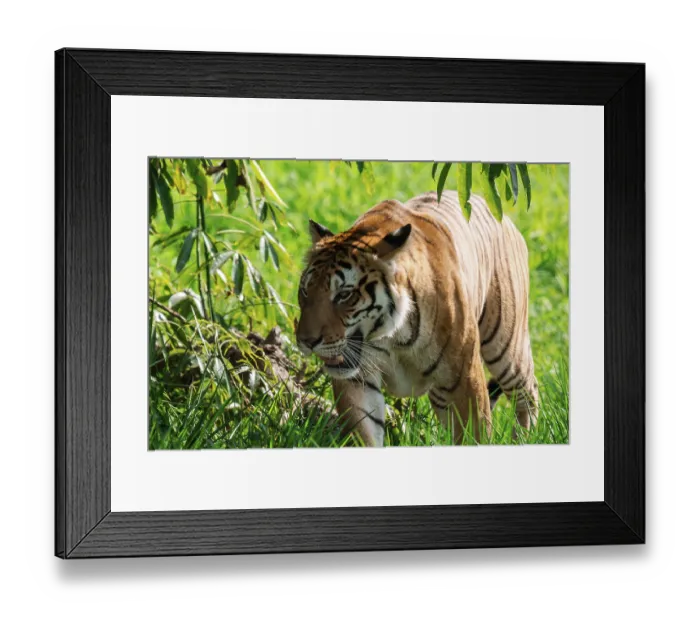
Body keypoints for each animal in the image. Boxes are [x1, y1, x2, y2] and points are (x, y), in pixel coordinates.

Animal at [295, 190, 538, 447]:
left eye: (344, 295)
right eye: (305, 291)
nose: (306, 342)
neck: (392, 335)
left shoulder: (465, 377)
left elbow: (474, 434)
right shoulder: (357, 379)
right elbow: (363, 432)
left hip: (505, 347)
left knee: (528, 392)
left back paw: (526, 439)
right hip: (441, 394)